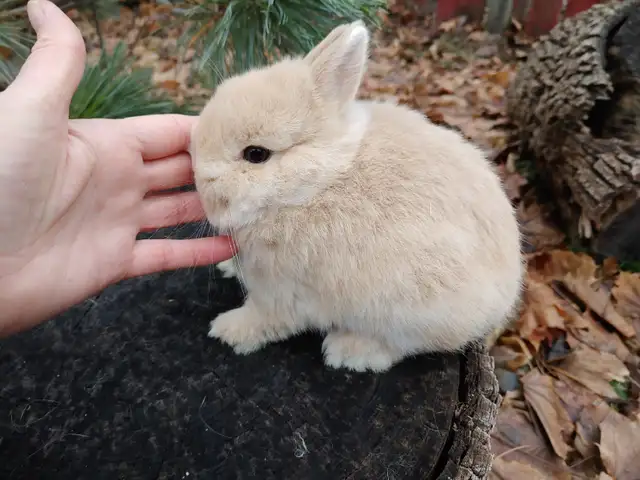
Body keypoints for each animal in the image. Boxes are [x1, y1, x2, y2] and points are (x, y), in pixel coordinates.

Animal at [190, 20, 524, 373]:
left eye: (256, 154)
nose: (198, 181)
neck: (312, 188)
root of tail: (506, 294)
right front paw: (226, 266)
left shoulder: (282, 293)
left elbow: (266, 318)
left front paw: (226, 331)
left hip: (411, 312)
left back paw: (348, 351)